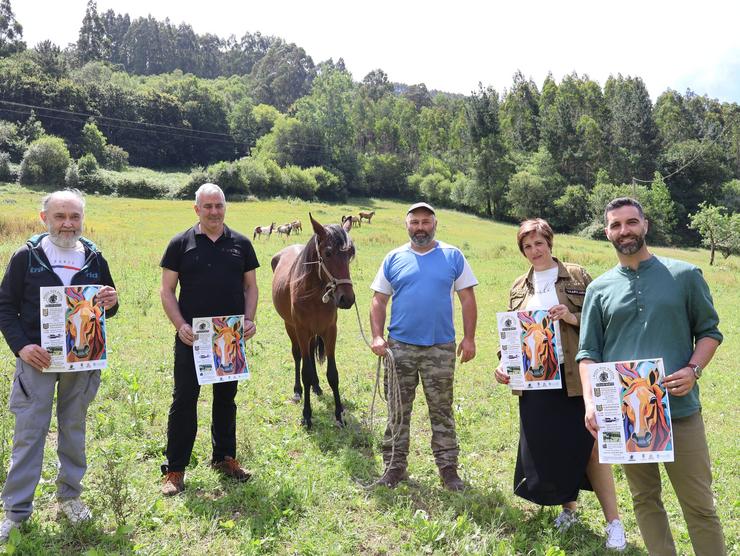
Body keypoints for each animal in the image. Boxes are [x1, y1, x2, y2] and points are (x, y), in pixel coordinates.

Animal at [272, 215, 356, 428]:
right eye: (327, 253)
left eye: (350, 254)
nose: (347, 299)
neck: (313, 295)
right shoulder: (302, 330)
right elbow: (306, 372)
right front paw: (307, 415)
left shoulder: (330, 330)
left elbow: (333, 374)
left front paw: (339, 414)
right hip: (291, 328)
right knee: (298, 356)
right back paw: (297, 391)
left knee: (309, 353)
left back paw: (316, 387)